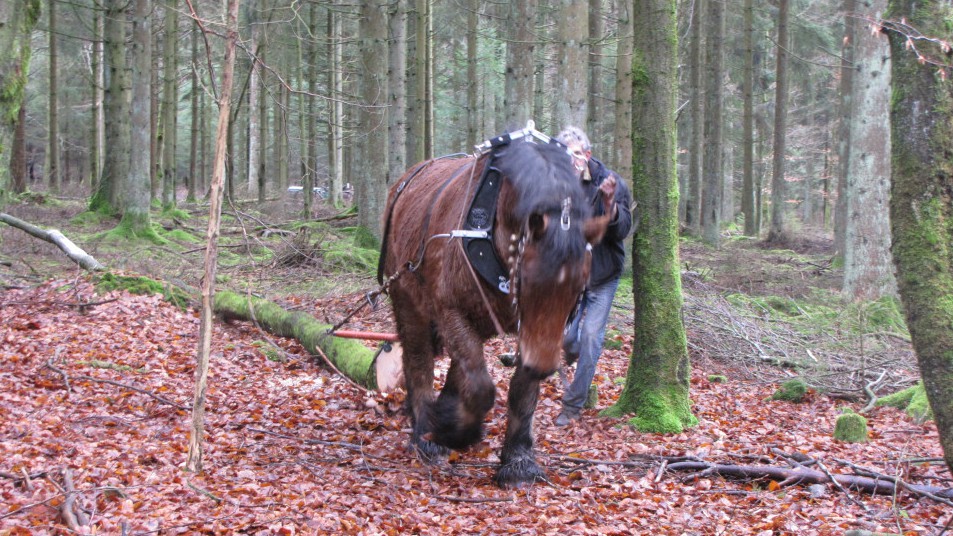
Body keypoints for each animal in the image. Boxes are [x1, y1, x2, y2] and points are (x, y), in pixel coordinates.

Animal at [379, 134, 610, 487]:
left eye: (578, 288)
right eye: (528, 283)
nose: (545, 366)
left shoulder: (533, 332)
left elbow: (521, 390)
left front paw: (517, 459)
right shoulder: (450, 309)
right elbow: (479, 387)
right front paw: (451, 431)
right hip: (407, 296)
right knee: (418, 358)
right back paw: (424, 427)